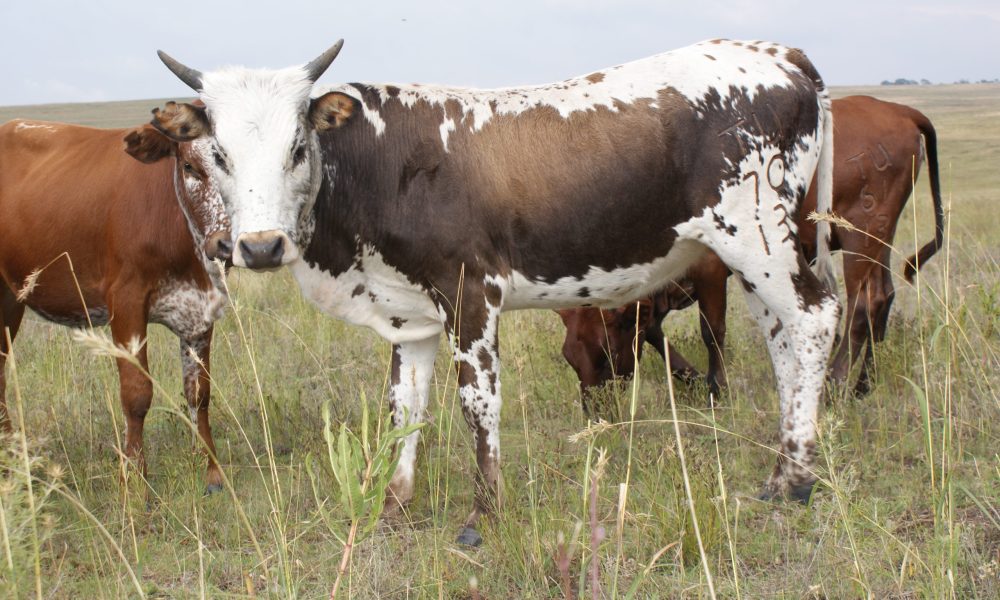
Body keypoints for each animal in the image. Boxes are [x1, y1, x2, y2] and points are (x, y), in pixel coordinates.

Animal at [0, 118, 232, 492]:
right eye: (188, 166)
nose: (226, 243)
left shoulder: (201, 309)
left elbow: (199, 393)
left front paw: (213, 473)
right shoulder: (126, 304)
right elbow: (137, 395)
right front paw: (136, 481)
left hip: (10, 298)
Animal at [154, 36, 844, 544]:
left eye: (298, 148)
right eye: (216, 156)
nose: (259, 246)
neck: (378, 164)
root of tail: (777, 53)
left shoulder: (469, 292)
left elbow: (476, 404)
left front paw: (483, 514)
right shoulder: (408, 311)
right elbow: (404, 408)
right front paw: (393, 508)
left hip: (756, 236)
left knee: (813, 318)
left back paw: (794, 474)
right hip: (753, 256)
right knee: (782, 337)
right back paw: (787, 464)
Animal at [560, 96, 940, 406]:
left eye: (605, 352)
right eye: (569, 355)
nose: (596, 408)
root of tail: (900, 111)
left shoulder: (710, 270)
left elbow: (712, 331)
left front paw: (716, 389)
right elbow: (655, 332)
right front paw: (692, 378)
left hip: (859, 236)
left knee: (863, 304)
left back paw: (835, 382)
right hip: (880, 237)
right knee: (884, 297)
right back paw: (864, 384)